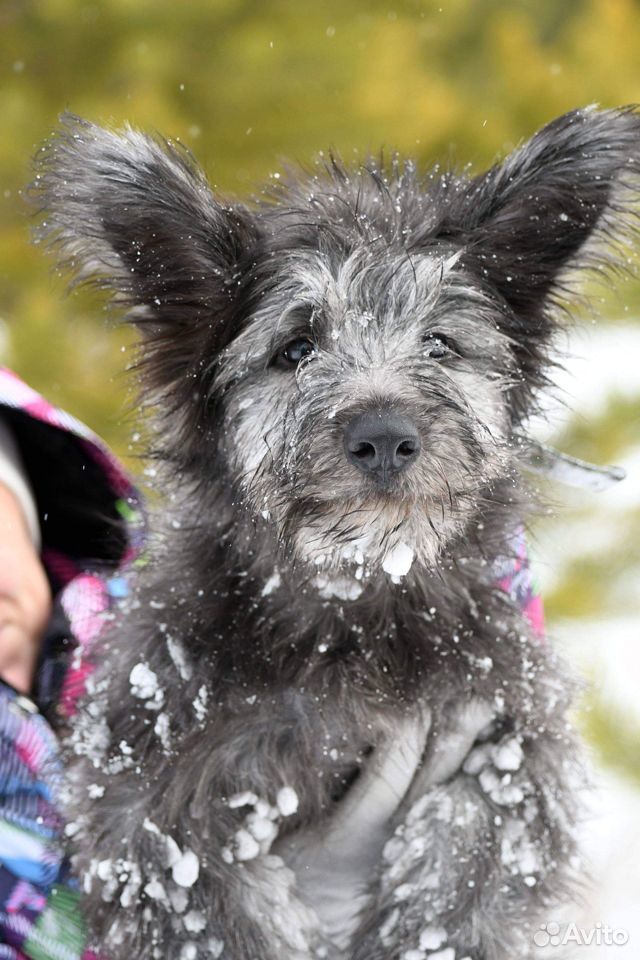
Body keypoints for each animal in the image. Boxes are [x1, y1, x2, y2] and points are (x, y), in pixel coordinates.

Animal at [32, 107, 636, 960]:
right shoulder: (154, 794)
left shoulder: (503, 740)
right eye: (295, 348)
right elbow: (213, 912)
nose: (384, 435)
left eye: (441, 343)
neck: (358, 602)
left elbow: (466, 861)